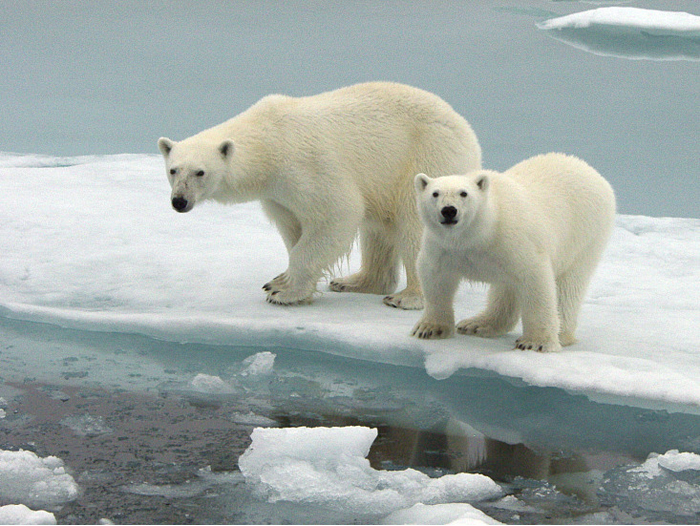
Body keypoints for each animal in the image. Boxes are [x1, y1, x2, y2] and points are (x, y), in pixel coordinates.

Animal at [157, 82, 482, 310]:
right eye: (173, 170)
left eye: (200, 172)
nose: (179, 202)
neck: (269, 140)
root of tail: (466, 129)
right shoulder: (277, 194)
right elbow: (293, 227)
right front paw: (281, 279)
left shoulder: (306, 165)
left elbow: (337, 213)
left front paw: (284, 292)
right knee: (378, 230)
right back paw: (355, 281)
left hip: (426, 156)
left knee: (413, 224)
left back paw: (408, 297)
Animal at [412, 154, 616, 354]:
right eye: (435, 193)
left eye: (464, 193)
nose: (449, 210)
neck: (482, 231)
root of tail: (590, 170)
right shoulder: (443, 246)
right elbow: (435, 279)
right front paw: (429, 328)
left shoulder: (515, 239)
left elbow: (535, 280)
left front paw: (535, 343)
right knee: (506, 289)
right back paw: (477, 324)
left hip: (585, 234)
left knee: (569, 285)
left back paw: (561, 334)